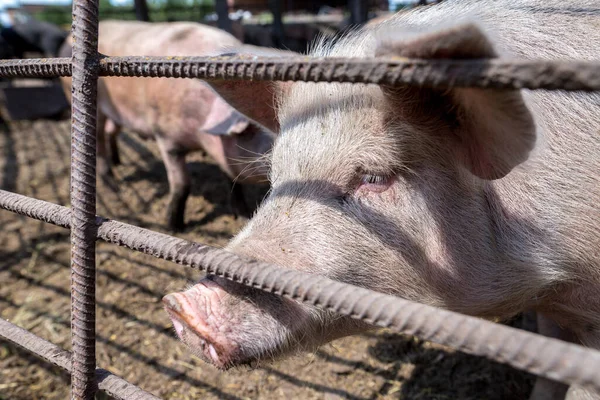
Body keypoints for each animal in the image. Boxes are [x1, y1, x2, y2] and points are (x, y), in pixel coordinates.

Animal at [58, 21, 278, 231]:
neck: (200, 134)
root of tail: (67, 39)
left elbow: (234, 182)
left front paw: (243, 216)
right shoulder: (166, 139)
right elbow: (182, 184)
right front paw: (175, 226)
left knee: (111, 132)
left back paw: (118, 162)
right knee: (99, 140)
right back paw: (114, 184)